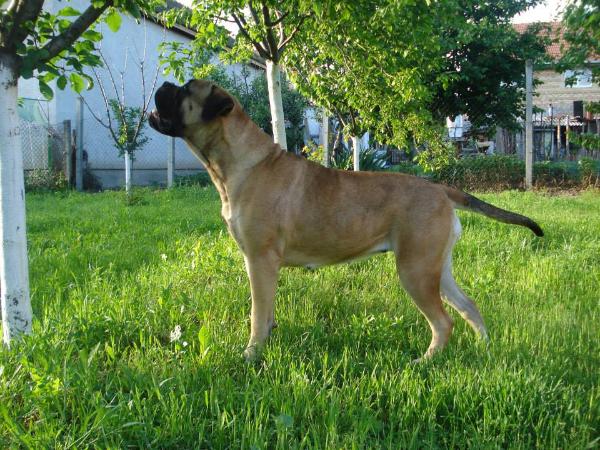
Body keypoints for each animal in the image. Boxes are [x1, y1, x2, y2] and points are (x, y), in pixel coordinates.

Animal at [149, 80, 544, 362]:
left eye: (186, 89)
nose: (164, 83)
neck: (240, 162)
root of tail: (441, 190)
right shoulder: (264, 267)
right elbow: (267, 311)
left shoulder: (259, 260)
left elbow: (256, 314)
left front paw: (251, 354)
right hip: (437, 267)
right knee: (469, 307)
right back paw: (485, 349)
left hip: (415, 271)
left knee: (443, 322)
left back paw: (425, 362)